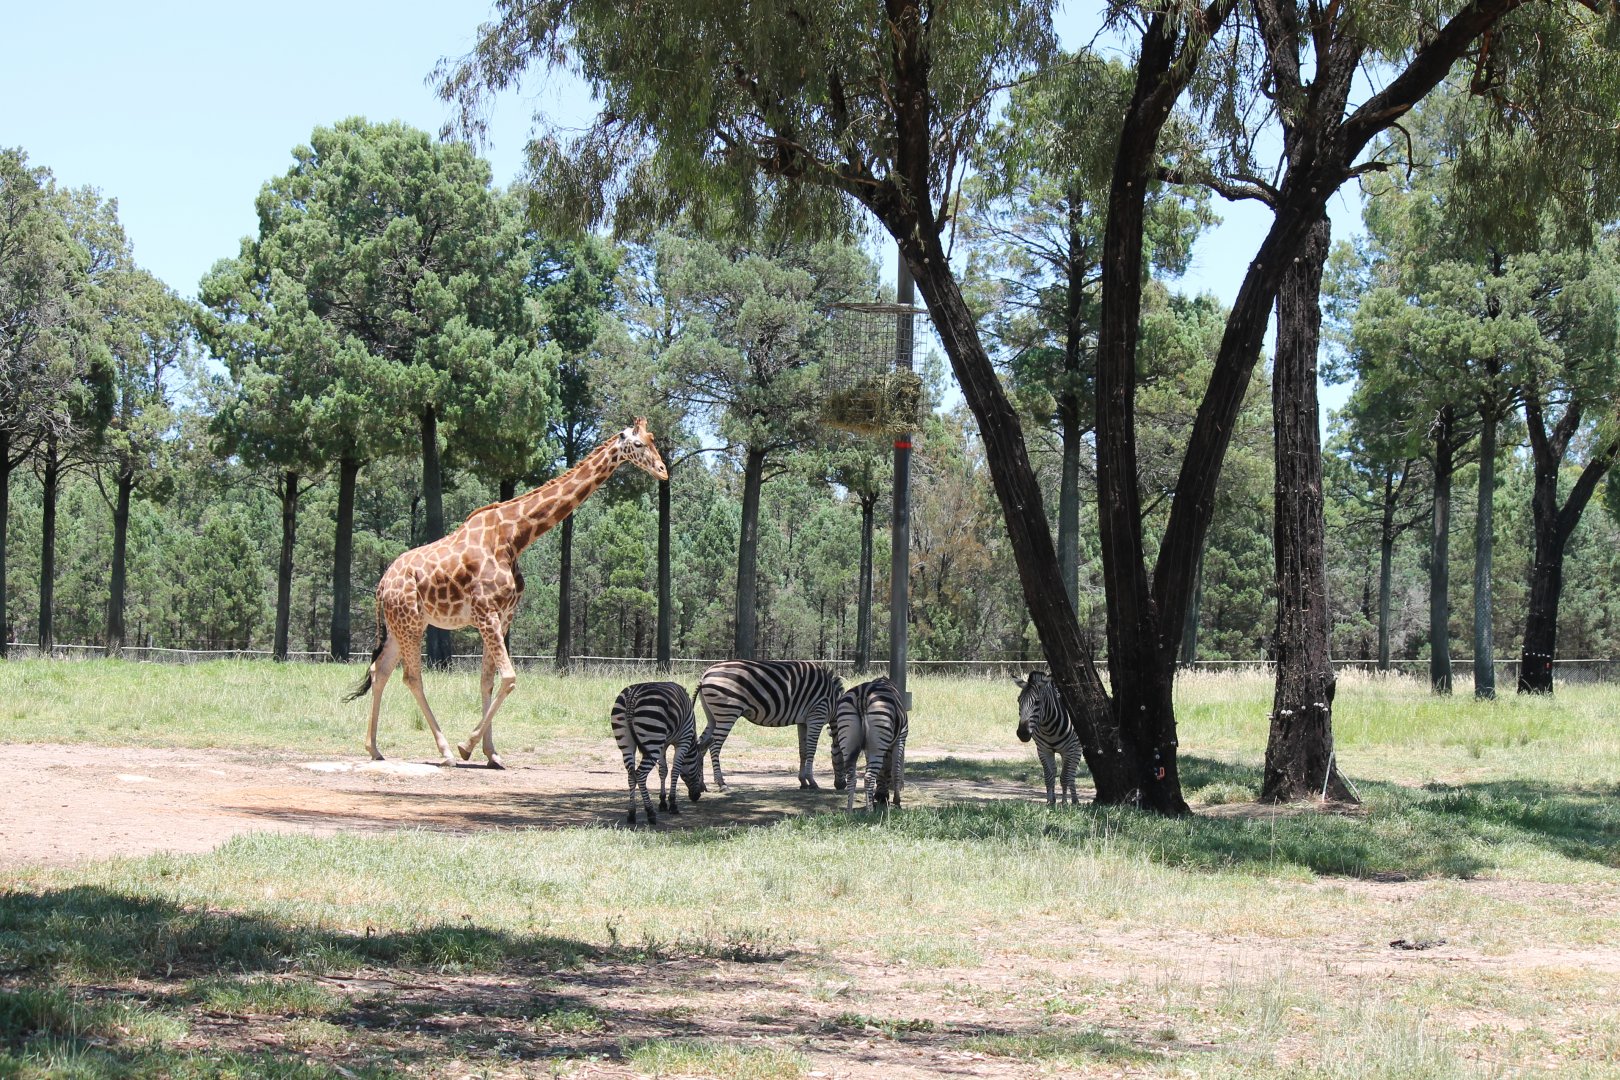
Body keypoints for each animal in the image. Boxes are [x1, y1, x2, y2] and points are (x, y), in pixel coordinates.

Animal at [346, 419, 669, 768]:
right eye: (639, 444)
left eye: (653, 439)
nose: (663, 470)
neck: (515, 536)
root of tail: (381, 585)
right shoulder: (485, 611)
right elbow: (509, 677)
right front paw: (466, 745)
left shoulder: (504, 615)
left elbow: (489, 679)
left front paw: (491, 753)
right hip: (412, 622)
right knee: (411, 677)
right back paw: (445, 752)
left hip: (398, 626)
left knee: (380, 671)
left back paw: (374, 749)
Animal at [611, 681, 709, 825]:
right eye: (701, 765)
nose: (698, 795)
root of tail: (632, 696)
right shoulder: (683, 741)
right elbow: (675, 770)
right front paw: (672, 804)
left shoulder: (663, 744)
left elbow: (663, 770)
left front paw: (662, 802)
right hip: (652, 740)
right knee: (640, 774)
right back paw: (650, 813)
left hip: (627, 743)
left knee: (631, 775)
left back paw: (631, 813)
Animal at [695, 660, 844, 791]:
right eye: (844, 757)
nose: (841, 786)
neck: (833, 701)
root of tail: (705, 675)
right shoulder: (817, 715)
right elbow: (812, 750)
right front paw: (812, 782)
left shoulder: (803, 722)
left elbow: (803, 751)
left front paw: (803, 782)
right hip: (727, 713)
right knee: (714, 747)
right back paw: (721, 783)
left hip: (713, 717)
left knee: (702, 744)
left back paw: (701, 785)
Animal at [831, 676, 909, 811]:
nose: (881, 798)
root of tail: (862, 694)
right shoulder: (901, 737)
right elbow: (896, 770)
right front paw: (897, 801)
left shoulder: (868, 748)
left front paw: (871, 800)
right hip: (877, 744)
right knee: (868, 777)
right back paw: (870, 812)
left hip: (848, 738)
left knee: (852, 776)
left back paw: (849, 810)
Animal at [1014, 670, 1083, 806]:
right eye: (1019, 701)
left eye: (1037, 702)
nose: (1022, 733)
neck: (1048, 727)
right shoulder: (1043, 750)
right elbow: (1049, 777)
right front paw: (1050, 802)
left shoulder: (1068, 750)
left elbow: (1065, 777)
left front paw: (1064, 803)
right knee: (1056, 771)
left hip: (1077, 747)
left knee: (1072, 773)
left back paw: (1074, 800)